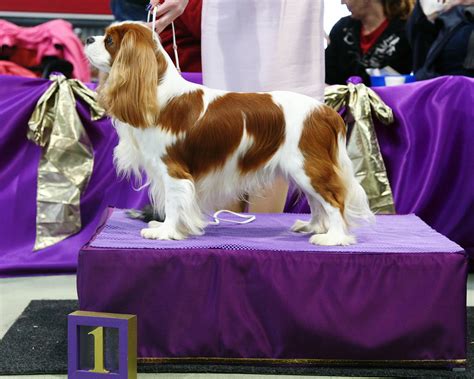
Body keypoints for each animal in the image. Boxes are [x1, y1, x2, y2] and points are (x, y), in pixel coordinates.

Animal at [86, 22, 374, 246]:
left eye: (109, 40)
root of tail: (326, 111)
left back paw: (333, 237)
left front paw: (166, 232)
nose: (88, 38)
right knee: (317, 201)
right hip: (302, 170)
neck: (159, 92)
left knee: (333, 200)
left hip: (309, 166)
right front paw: (169, 227)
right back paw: (313, 226)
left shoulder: (173, 169)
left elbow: (173, 202)